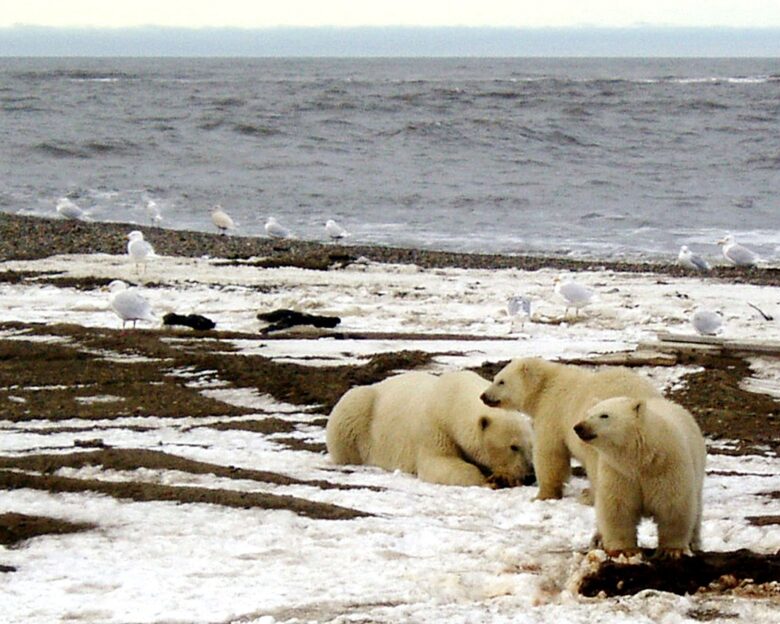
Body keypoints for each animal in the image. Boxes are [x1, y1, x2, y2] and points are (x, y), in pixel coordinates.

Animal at [324, 370, 536, 488]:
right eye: (513, 446)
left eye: (531, 447)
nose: (529, 475)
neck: (453, 400)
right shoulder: (434, 427)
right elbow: (439, 462)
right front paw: (490, 480)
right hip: (358, 412)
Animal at [482, 358, 660, 500]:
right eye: (495, 378)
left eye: (501, 381)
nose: (483, 396)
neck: (545, 386)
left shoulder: (553, 412)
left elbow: (550, 453)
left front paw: (543, 495)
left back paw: (590, 496)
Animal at [572, 398, 708, 560]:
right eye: (587, 414)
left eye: (604, 415)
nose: (578, 427)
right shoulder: (619, 472)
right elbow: (618, 507)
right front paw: (625, 551)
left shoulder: (667, 467)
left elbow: (673, 505)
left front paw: (672, 550)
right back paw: (598, 540)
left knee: (696, 509)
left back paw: (694, 543)